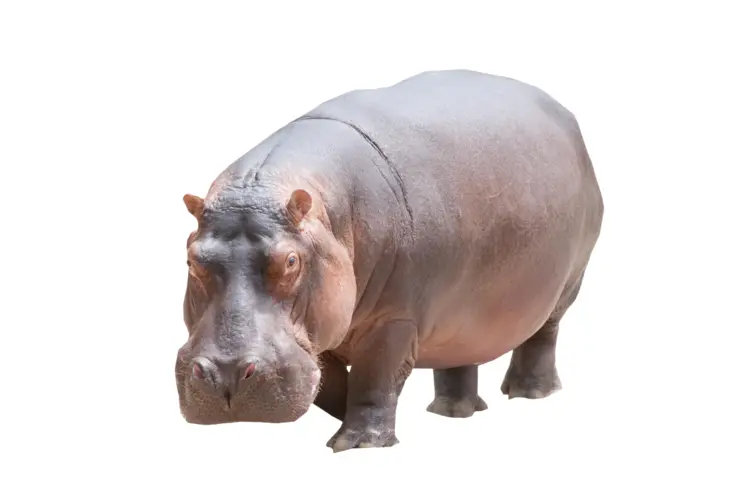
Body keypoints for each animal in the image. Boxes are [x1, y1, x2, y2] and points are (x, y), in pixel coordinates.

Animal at [176, 69, 604, 452]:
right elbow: (330, 381)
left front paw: (359, 444)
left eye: (292, 261)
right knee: (459, 356)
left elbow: (374, 375)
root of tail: (563, 112)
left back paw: (529, 393)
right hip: (460, 312)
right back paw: (452, 410)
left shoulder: (393, 319)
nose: (227, 373)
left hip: (568, 284)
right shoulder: (325, 326)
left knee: (543, 336)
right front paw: (342, 415)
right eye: (192, 260)